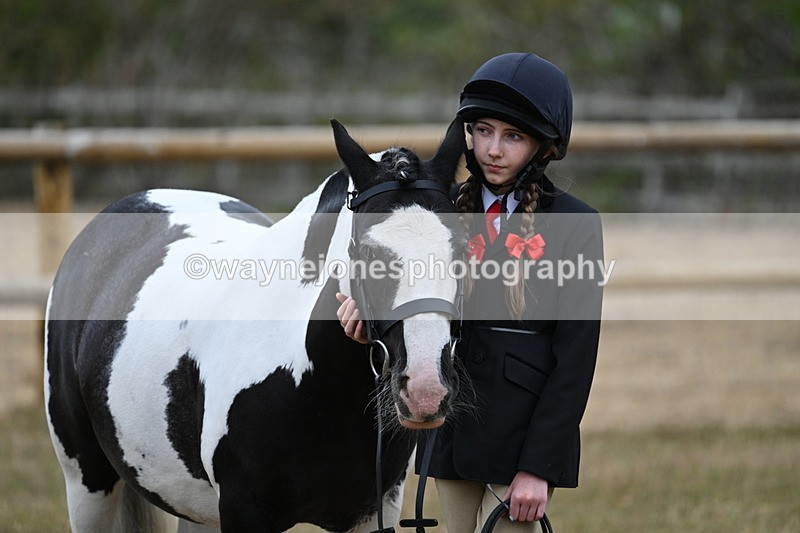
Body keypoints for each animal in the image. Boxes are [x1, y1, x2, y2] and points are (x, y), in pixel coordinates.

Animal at [44, 117, 466, 532]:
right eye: (366, 250)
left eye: (463, 248)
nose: (426, 390)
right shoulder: (242, 510)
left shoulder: (375, 509)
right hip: (87, 482)